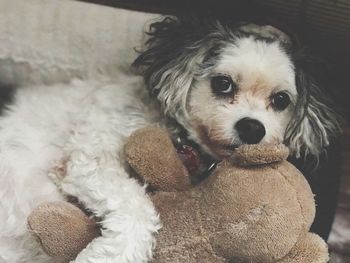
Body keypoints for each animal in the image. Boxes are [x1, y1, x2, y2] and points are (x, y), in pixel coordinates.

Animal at [0, 13, 340, 263]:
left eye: (281, 100)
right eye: (223, 84)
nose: (253, 128)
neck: (179, 139)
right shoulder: (89, 159)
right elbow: (138, 205)